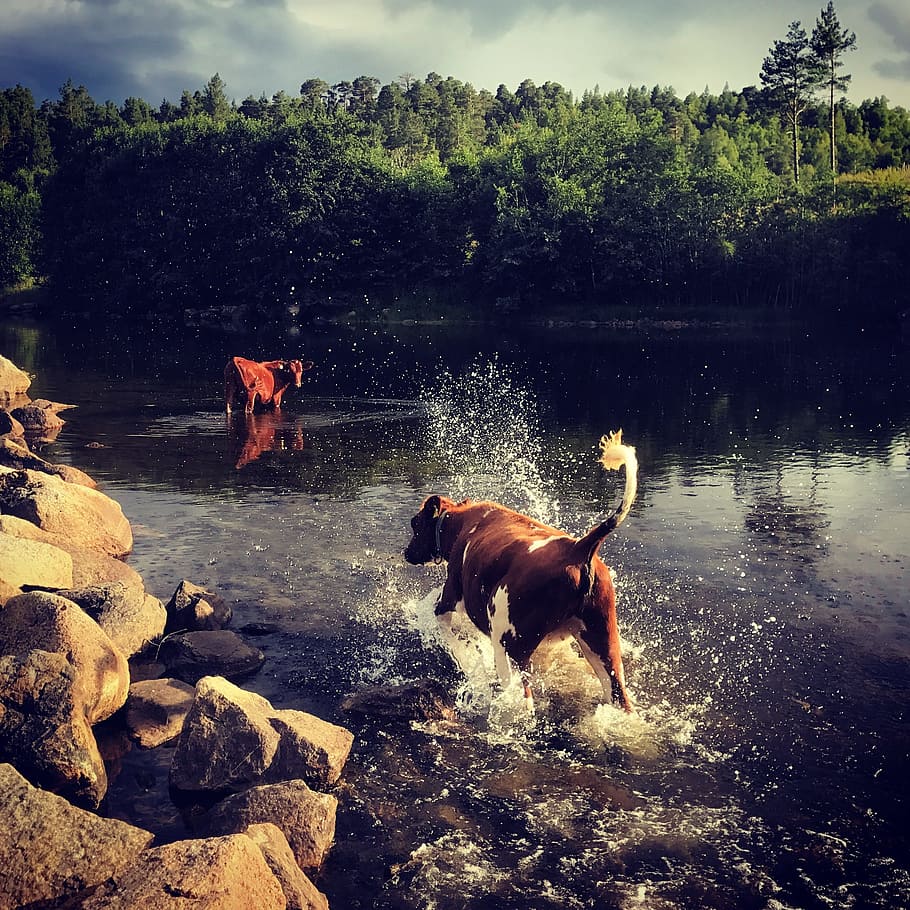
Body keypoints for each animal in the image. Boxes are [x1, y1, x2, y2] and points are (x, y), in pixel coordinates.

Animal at [404, 431, 638, 714]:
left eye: (415, 524)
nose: (406, 552)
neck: (461, 522)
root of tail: (578, 548)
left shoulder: (448, 599)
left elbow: (453, 640)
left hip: (509, 647)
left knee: (523, 701)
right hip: (604, 645)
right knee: (620, 698)